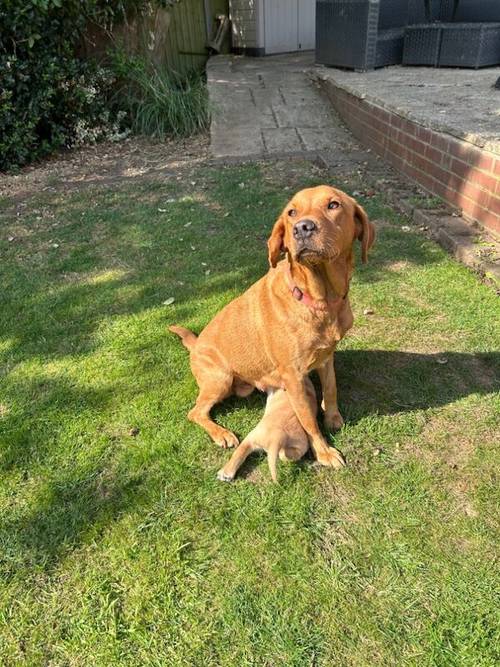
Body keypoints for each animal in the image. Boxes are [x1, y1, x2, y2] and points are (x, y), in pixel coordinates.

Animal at [170, 184, 374, 470]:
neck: (321, 300)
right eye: (291, 212)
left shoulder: (326, 356)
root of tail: (196, 343)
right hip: (220, 379)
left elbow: (331, 388)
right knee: (195, 412)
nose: (303, 228)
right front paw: (324, 452)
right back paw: (221, 433)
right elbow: (308, 421)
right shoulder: (294, 377)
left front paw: (332, 416)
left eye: (333, 205)